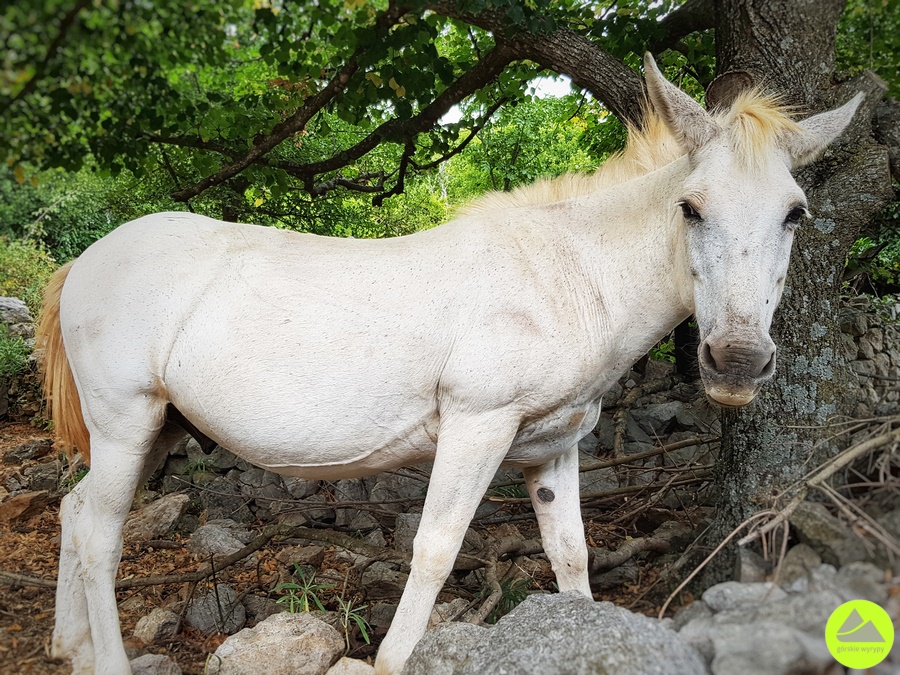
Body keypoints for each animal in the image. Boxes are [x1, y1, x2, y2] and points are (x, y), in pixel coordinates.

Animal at [38, 55, 860, 672]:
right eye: (691, 207)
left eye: (794, 213)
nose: (737, 362)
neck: (567, 274)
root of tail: (84, 262)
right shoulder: (476, 426)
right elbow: (435, 548)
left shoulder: (552, 447)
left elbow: (571, 557)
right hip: (126, 422)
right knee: (100, 534)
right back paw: (105, 659)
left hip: (161, 429)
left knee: (74, 510)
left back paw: (69, 646)